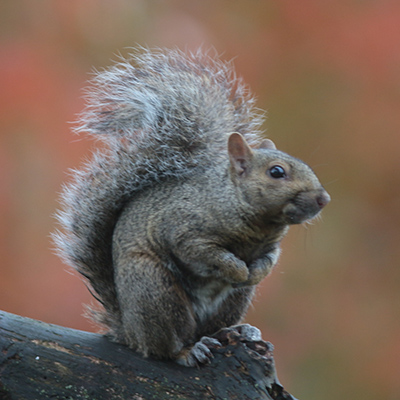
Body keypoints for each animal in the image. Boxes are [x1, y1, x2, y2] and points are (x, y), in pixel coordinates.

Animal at [54, 47, 332, 366]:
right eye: (276, 172)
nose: (323, 199)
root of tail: (129, 331)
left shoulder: (270, 246)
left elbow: (270, 260)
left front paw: (256, 273)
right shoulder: (185, 230)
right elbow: (207, 254)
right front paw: (238, 270)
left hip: (233, 301)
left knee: (208, 329)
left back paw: (236, 331)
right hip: (156, 291)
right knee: (167, 346)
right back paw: (187, 351)